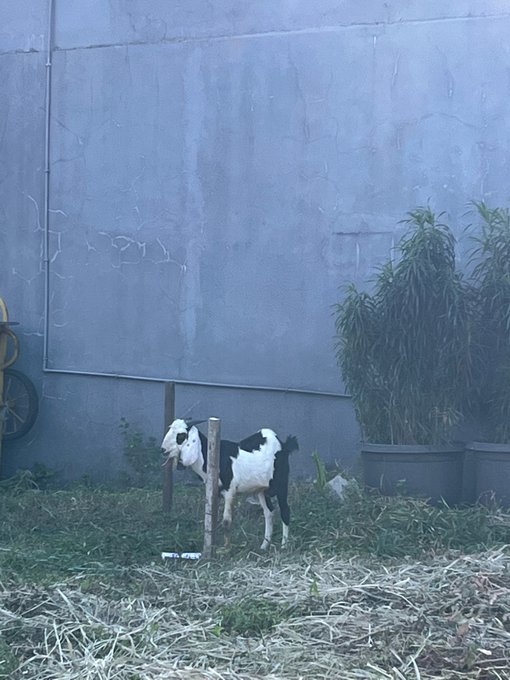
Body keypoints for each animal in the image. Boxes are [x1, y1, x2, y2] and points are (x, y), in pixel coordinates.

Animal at [161, 418, 298, 550]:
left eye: (181, 435)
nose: (163, 450)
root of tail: (283, 444)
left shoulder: (229, 491)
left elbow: (226, 521)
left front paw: (226, 549)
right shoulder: (214, 491)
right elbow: (212, 518)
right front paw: (212, 545)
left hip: (281, 483)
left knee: (285, 511)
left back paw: (284, 546)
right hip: (262, 489)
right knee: (269, 512)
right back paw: (264, 546)